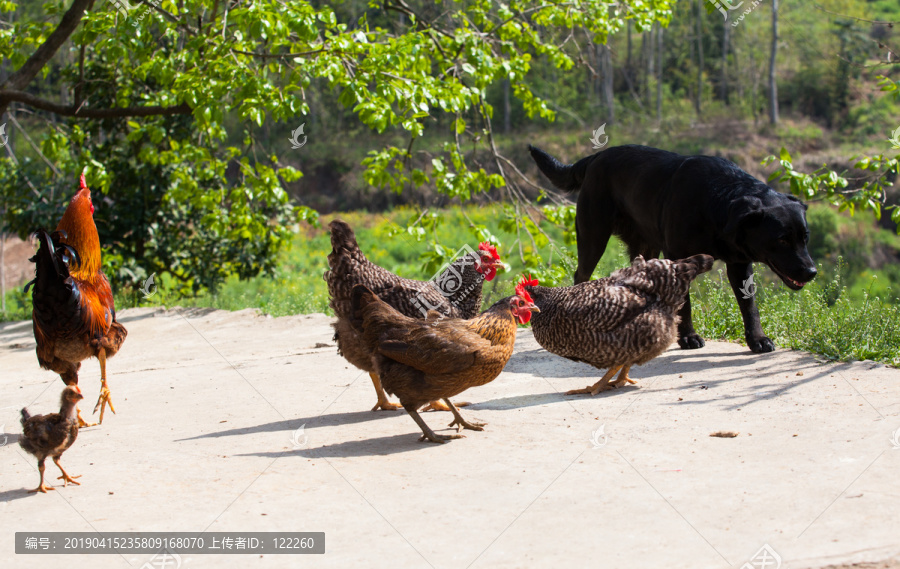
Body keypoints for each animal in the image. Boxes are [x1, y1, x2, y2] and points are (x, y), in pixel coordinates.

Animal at [528, 144, 816, 352]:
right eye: (781, 240)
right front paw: (687, 337)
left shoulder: (740, 263)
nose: (812, 272)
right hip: (593, 235)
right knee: (581, 274)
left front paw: (757, 339)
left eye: (805, 237)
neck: (717, 202)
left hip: (645, 246)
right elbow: (685, 304)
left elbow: (750, 306)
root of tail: (596, 156)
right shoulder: (677, 257)